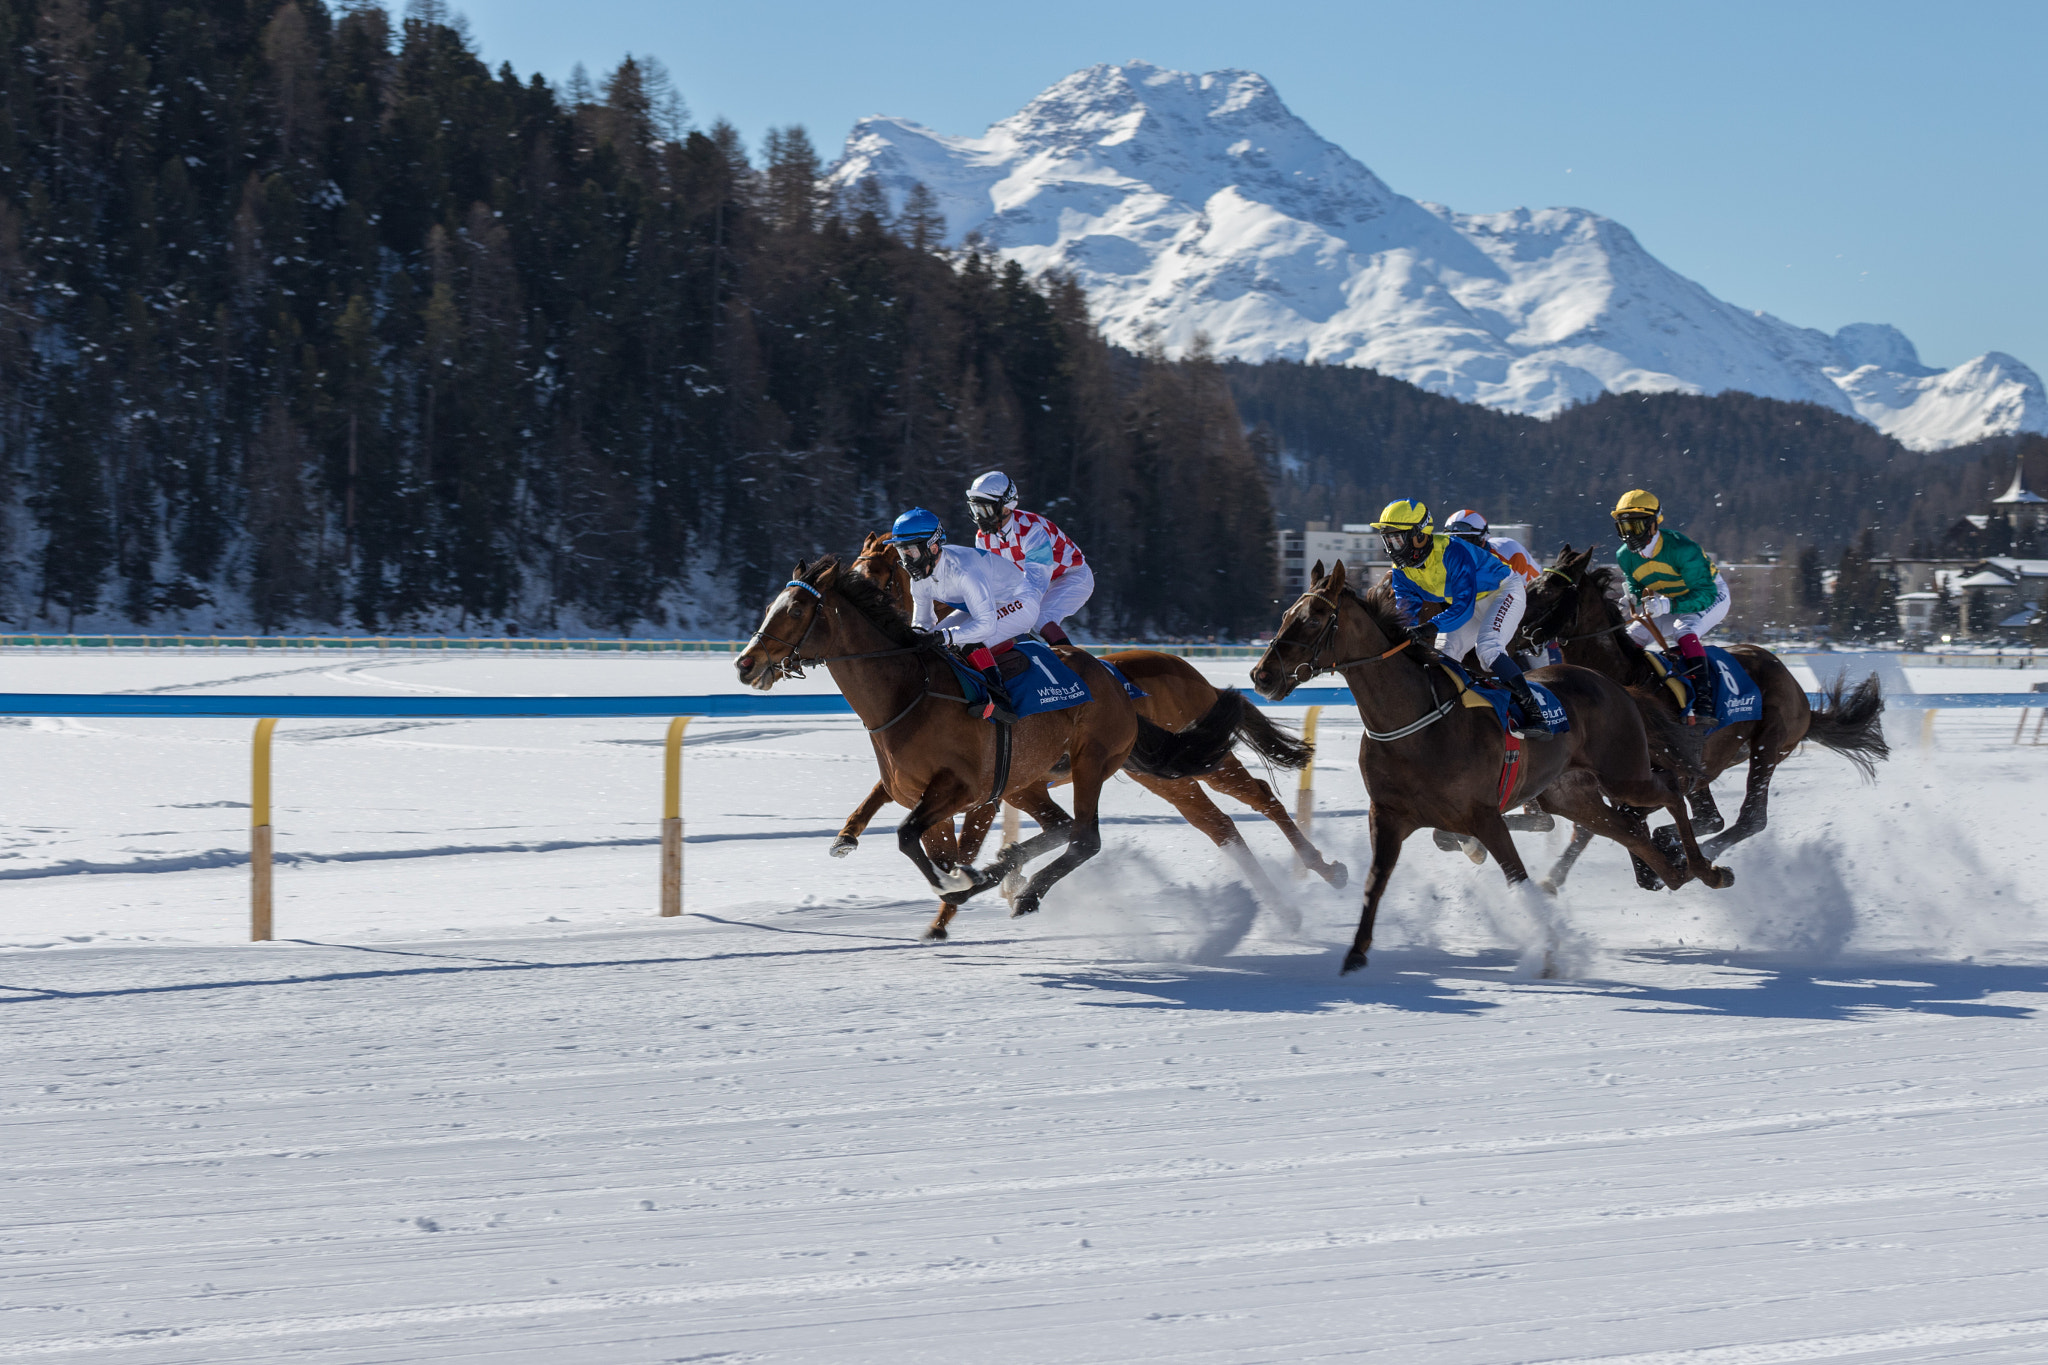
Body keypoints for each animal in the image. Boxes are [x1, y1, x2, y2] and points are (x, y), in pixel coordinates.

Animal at [737, 556, 1245, 941]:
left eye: (796, 609)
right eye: (771, 605)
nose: (745, 663)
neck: (908, 692)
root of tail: (1117, 681)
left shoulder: (964, 789)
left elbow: (909, 836)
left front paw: (953, 887)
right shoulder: (914, 788)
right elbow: (902, 824)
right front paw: (850, 839)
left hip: (1091, 761)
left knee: (1085, 837)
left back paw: (1024, 893)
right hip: (1028, 779)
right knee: (1062, 827)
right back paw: (1001, 871)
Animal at [823, 532, 1351, 908]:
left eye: (880, 577)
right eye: (858, 568)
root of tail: (1188, 670)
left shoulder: (989, 780)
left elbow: (966, 837)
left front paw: (968, 888)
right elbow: (889, 798)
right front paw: (849, 836)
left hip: (1204, 760)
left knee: (1260, 796)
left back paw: (1324, 870)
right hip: (1163, 774)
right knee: (1218, 824)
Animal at [1245, 560, 1728, 978]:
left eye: (1314, 617)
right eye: (1286, 614)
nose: (1261, 676)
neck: (1414, 722)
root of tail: (1615, 685)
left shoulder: (1483, 816)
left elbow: (1518, 878)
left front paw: (1548, 952)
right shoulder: (1388, 814)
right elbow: (1375, 881)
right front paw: (1355, 954)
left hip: (1623, 773)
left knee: (1670, 790)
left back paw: (1706, 868)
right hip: (1571, 795)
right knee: (1625, 829)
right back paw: (1675, 873)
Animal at [1523, 548, 1884, 892]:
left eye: (1551, 590)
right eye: (1530, 586)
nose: (1522, 631)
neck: (1622, 678)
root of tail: (1801, 696)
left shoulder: (1665, 774)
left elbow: (1631, 821)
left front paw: (1672, 858)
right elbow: (1605, 826)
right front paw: (1554, 878)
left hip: (1769, 743)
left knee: (1750, 818)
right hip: (1717, 761)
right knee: (1713, 818)